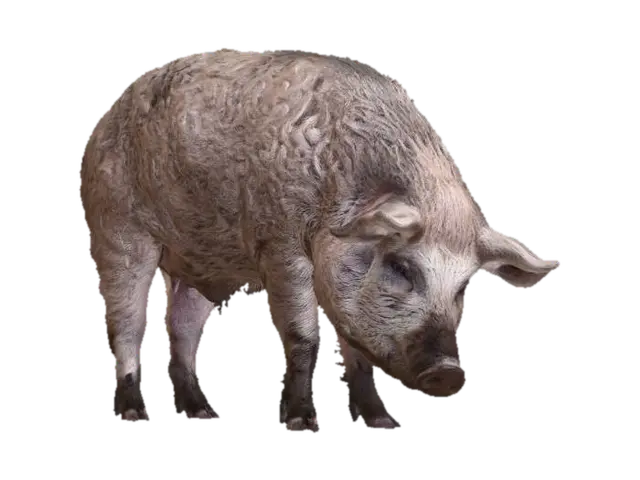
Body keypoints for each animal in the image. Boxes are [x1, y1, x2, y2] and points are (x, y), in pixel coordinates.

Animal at [80, 47, 560, 431]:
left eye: (463, 288)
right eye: (402, 267)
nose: (448, 372)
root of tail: (109, 114)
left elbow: (357, 351)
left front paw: (383, 424)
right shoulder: (280, 244)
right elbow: (303, 334)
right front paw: (301, 423)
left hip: (205, 262)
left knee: (181, 325)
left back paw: (206, 415)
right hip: (116, 228)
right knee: (126, 323)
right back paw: (133, 415)